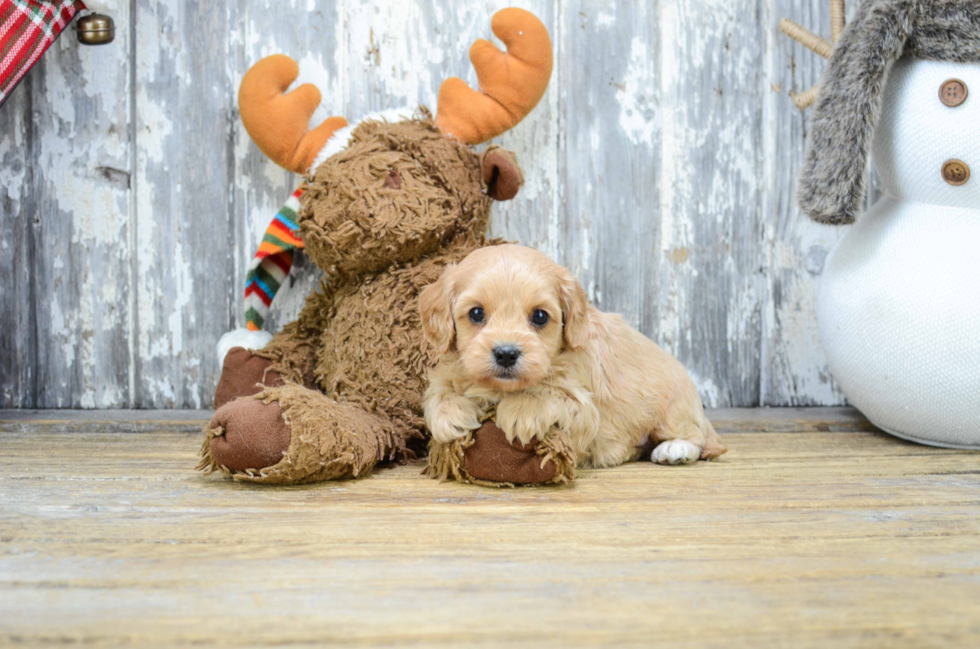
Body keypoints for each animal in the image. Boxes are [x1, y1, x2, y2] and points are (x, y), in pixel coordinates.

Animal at [418, 243, 724, 466]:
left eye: (540, 316)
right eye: (476, 313)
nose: (506, 354)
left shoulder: (584, 409)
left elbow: (548, 392)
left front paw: (520, 411)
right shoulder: (451, 369)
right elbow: (437, 393)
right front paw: (451, 414)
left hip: (673, 408)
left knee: (697, 436)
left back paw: (674, 450)